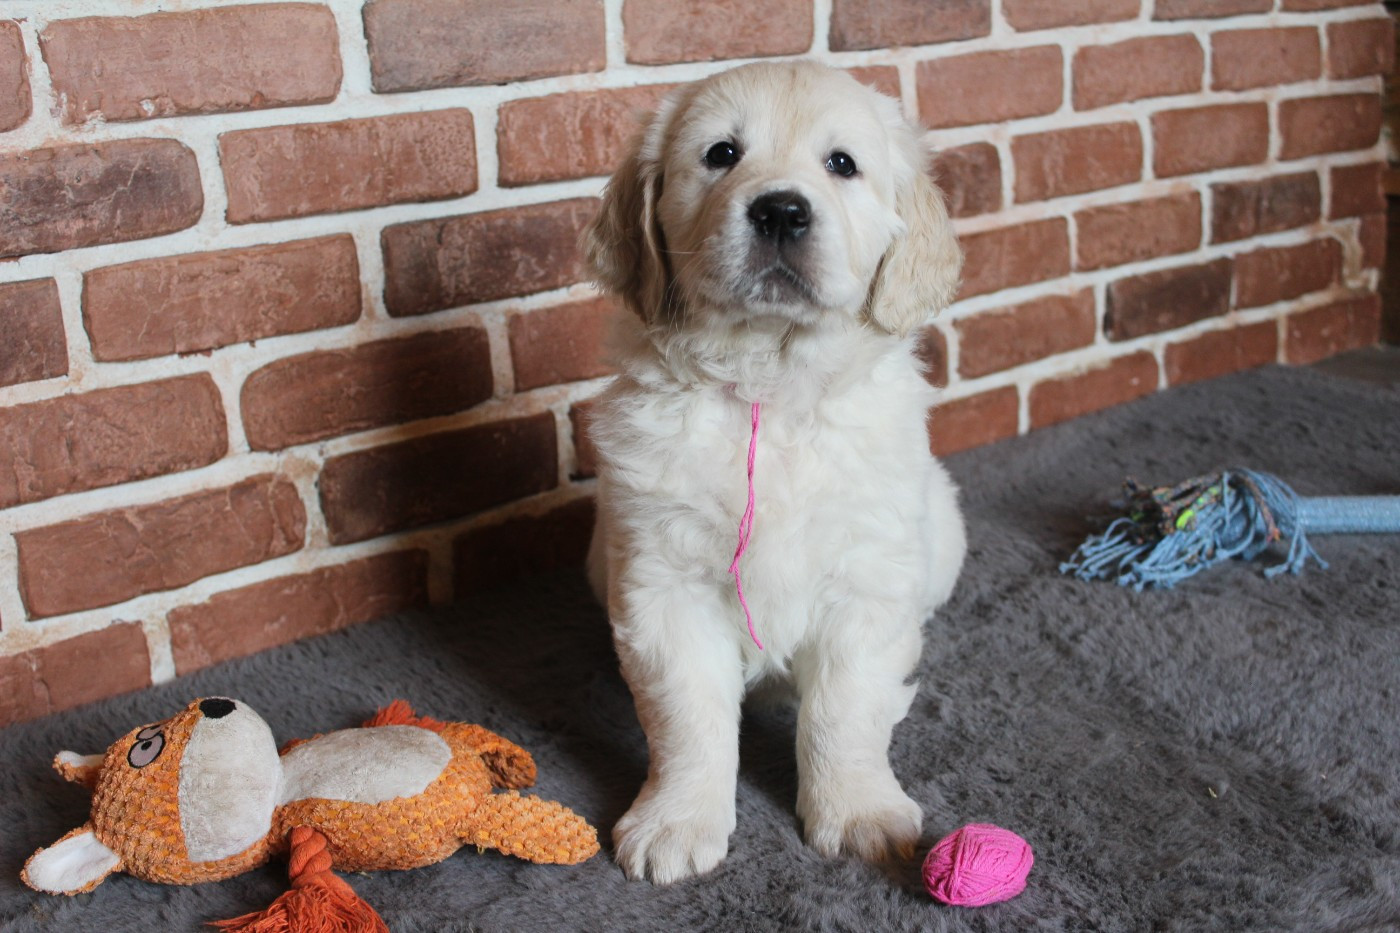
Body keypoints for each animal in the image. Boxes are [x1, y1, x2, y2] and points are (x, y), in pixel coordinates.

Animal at [582, 60, 967, 884]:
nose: (782, 211)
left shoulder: (867, 578)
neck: (771, 382)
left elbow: (843, 711)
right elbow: (687, 717)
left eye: (842, 164)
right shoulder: (664, 585)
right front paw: (677, 820)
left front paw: (857, 811)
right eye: (722, 154)